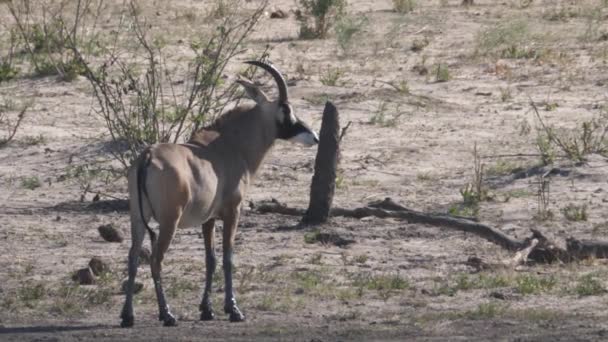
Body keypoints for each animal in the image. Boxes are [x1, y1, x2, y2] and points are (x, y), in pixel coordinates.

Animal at [119, 60, 318, 328]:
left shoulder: (208, 219)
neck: (229, 145)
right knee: (156, 260)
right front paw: (233, 309)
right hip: (169, 221)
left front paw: (207, 309)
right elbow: (227, 257)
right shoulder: (233, 211)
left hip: (138, 219)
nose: (314, 137)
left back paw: (128, 316)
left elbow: (210, 259)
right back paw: (167, 314)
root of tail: (147, 156)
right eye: (285, 110)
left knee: (132, 258)